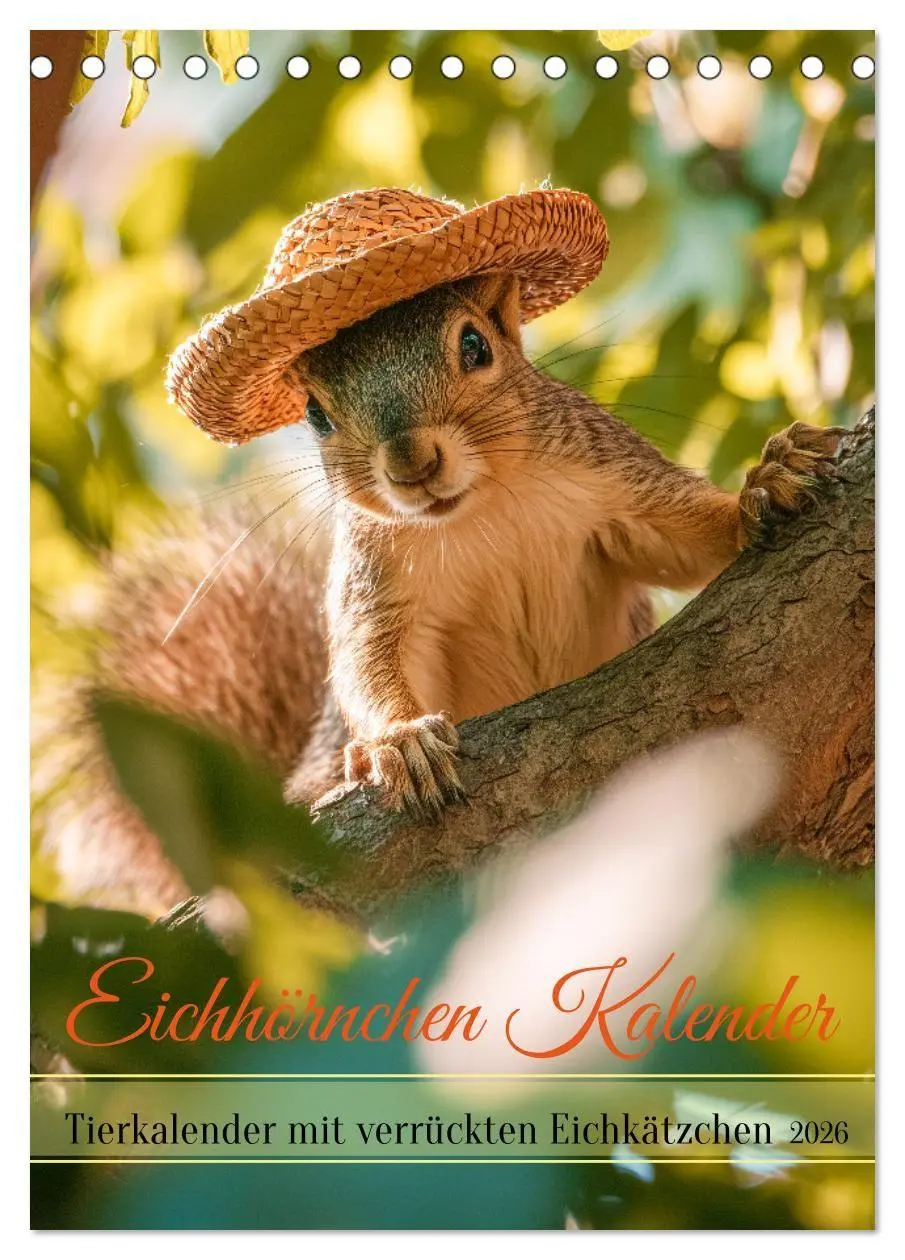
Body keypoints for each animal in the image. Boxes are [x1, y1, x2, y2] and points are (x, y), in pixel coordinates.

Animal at [38, 270, 843, 917]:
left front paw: (764, 485)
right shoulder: (378, 587)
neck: (479, 509)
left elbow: (684, 534)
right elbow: (368, 662)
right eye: (315, 413)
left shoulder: (613, 481)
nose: (411, 463)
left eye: (476, 346)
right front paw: (400, 742)